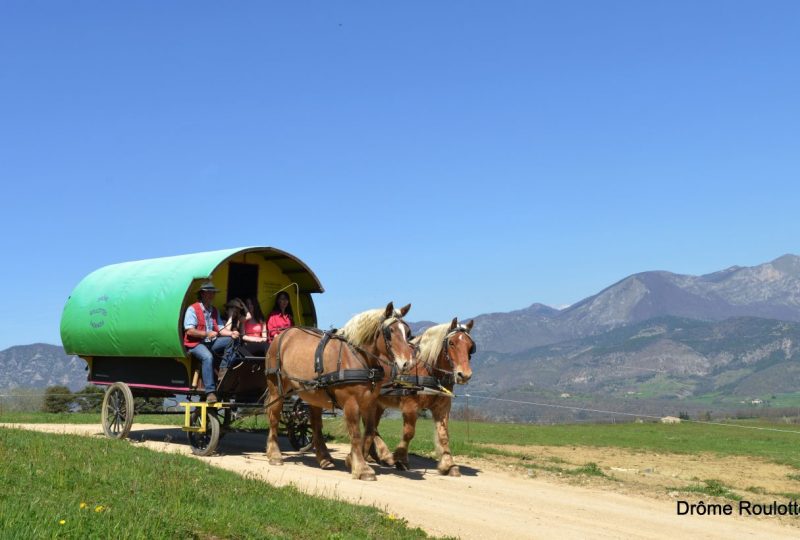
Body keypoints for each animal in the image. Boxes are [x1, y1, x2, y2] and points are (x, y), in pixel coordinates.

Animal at [266, 304, 416, 480]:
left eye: (407, 332)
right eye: (390, 331)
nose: (407, 363)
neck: (360, 359)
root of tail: (281, 335)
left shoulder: (369, 403)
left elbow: (369, 433)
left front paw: (351, 460)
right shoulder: (351, 403)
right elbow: (356, 433)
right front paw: (362, 468)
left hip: (314, 394)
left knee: (315, 424)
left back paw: (324, 458)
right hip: (276, 388)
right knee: (274, 418)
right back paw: (274, 455)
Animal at [370, 318, 472, 474]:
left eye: (470, 346)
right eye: (451, 343)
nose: (464, 375)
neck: (429, 371)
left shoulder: (442, 407)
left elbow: (443, 435)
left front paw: (448, 464)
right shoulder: (410, 406)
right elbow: (409, 433)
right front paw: (400, 459)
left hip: (379, 404)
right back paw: (383, 454)